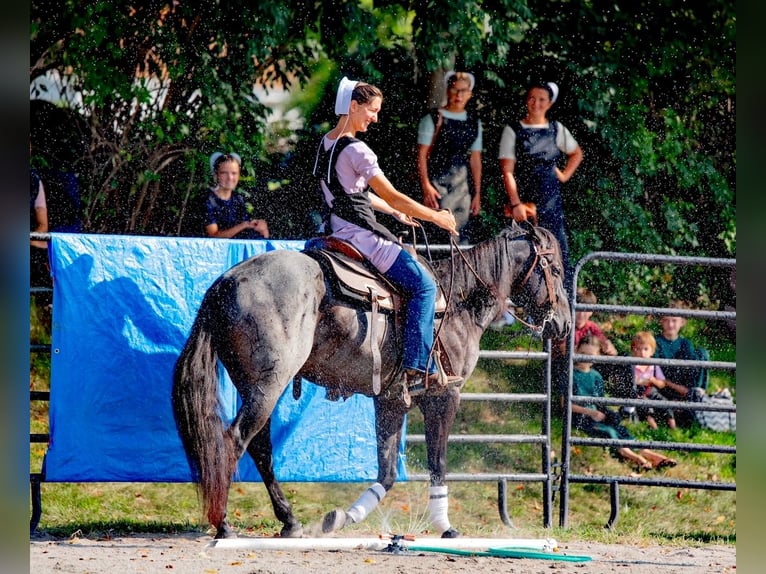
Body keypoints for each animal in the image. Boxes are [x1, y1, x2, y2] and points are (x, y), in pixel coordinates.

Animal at [172, 223, 568, 544]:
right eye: (556, 270)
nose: (562, 324)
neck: (458, 302)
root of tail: (227, 281)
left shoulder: (391, 400)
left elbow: (388, 472)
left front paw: (340, 518)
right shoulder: (444, 394)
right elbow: (437, 462)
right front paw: (446, 526)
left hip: (255, 385)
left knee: (261, 448)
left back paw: (289, 521)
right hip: (268, 386)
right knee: (234, 441)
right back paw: (223, 524)